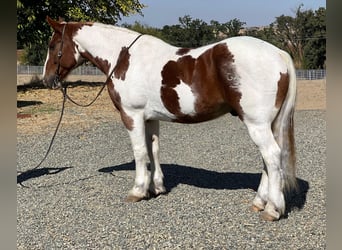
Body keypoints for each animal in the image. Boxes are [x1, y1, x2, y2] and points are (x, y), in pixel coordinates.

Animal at [42, 16, 296, 221]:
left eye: (53, 45)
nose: (47, 80)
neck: (123, 57)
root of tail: (279, 54)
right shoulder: (150, 118)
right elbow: (153, 150)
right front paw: (157, 187)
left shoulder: (132, 115)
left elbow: (139, 152)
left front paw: (138, 190)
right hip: (267, 124)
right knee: (268, 160)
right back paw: (259, 202)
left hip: (257, 124)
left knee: (272, 156)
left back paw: (272, 210)